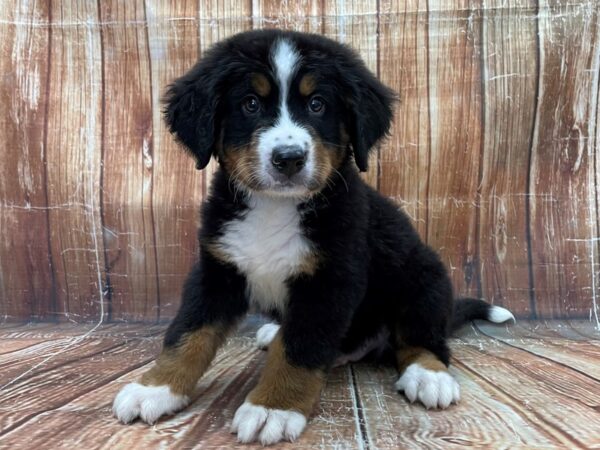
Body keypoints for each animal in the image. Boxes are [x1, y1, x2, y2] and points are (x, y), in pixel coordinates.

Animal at [111, 29, 510, 444]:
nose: (289, 158)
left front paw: (273, 408)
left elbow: (299, 349)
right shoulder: (217, 269)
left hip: (423, 275)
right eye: (250, 104)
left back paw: (428, 375)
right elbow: (187, 333)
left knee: (423, 338)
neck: (274, 208)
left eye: (318, 104)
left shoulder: (329, 281)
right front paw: (155, 388)